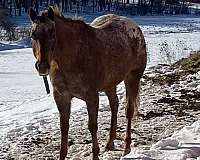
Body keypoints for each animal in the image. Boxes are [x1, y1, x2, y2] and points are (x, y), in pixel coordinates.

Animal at [28, 6, 147, 160]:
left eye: (52, 33)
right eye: (32, 35)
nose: (42, 66)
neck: (73, 58)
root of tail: (135, 27)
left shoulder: (91, 97)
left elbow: (92, 126)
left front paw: (95, 153)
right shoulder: (61, 97)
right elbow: (64, 127)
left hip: (132, 78)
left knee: (129, 111)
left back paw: (126, 147)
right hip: (110, 84)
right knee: (114, 105)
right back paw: (110, 142)